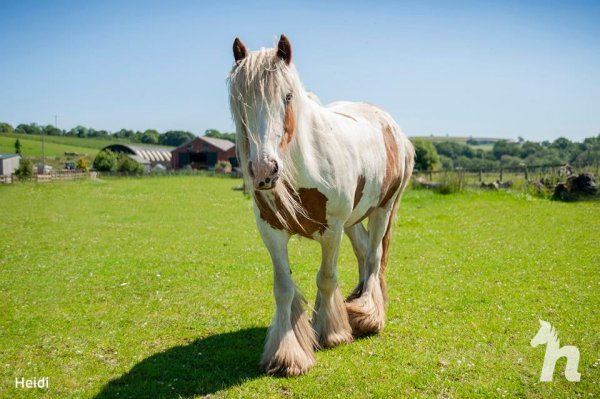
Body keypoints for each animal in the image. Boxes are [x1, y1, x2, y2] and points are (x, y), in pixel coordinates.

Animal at [227, 35, 414, 378]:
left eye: (287, 97)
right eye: (240, 101)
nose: (264, 171)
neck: (304, 164)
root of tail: (388, 123)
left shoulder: (332, 230)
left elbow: (326, 278)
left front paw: (331, 333)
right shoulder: (271, 231)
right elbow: (283, 288)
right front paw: (288, 352)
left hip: (382, 210)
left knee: (374, 256)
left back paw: (367, 314)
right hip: (355, 219)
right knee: (363, 251)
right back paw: (356, 303)